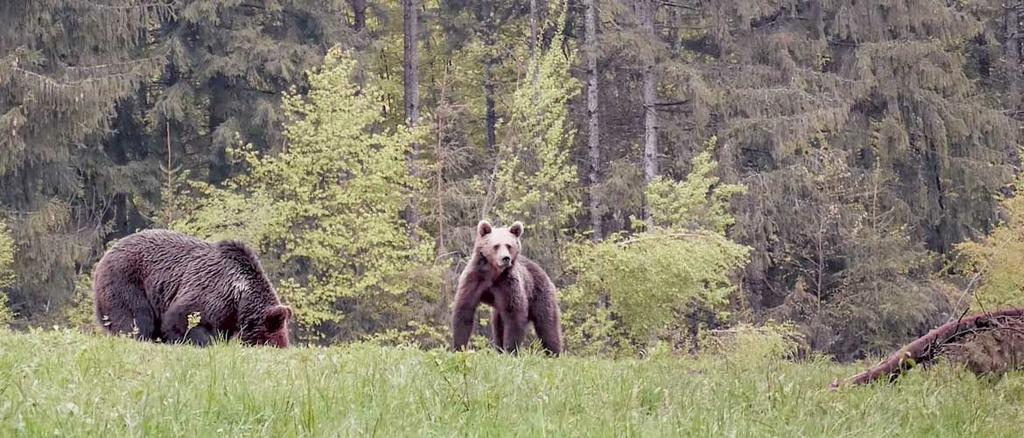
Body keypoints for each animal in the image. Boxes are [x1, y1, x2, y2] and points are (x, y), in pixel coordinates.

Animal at [92, 229, 291, 347]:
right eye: (274, 342)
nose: (282, 347)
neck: (240, 297)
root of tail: (105, 255)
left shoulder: (227, 314)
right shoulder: (211, 291)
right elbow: (181, 318)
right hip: (127, 280)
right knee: (136, 317)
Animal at [451, 220, 563, 355]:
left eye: (509, 246)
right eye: (496, 246)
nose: (505, 258)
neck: (493, 273)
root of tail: (542, 272)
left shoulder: (507, 285)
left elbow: (514, 316)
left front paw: (511, 350)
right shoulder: (474, 280)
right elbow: (464, 310)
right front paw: (458, 347)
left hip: (539, 295)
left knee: (547, 324)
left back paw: (554, 352)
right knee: (498, 326)